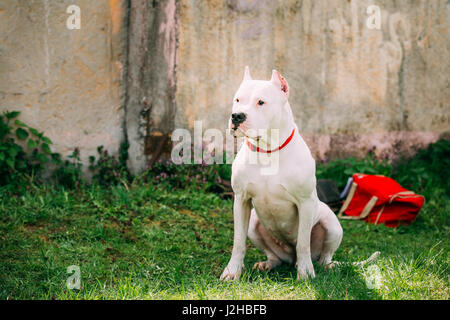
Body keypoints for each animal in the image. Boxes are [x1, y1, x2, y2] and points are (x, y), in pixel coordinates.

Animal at [220, 67, 342, 280]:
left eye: (261, 102)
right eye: (237, 99)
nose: (236, 116)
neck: (268, 150)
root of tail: (290, 258)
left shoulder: (305, 203)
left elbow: (303, 243)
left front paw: (305, 273)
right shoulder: (241, 200)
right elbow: (238, 242)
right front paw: (232, 271)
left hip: (332, 225)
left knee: (323, 255)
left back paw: (324, 266)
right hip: (254, 223)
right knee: (275, 255)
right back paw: (267, 264)